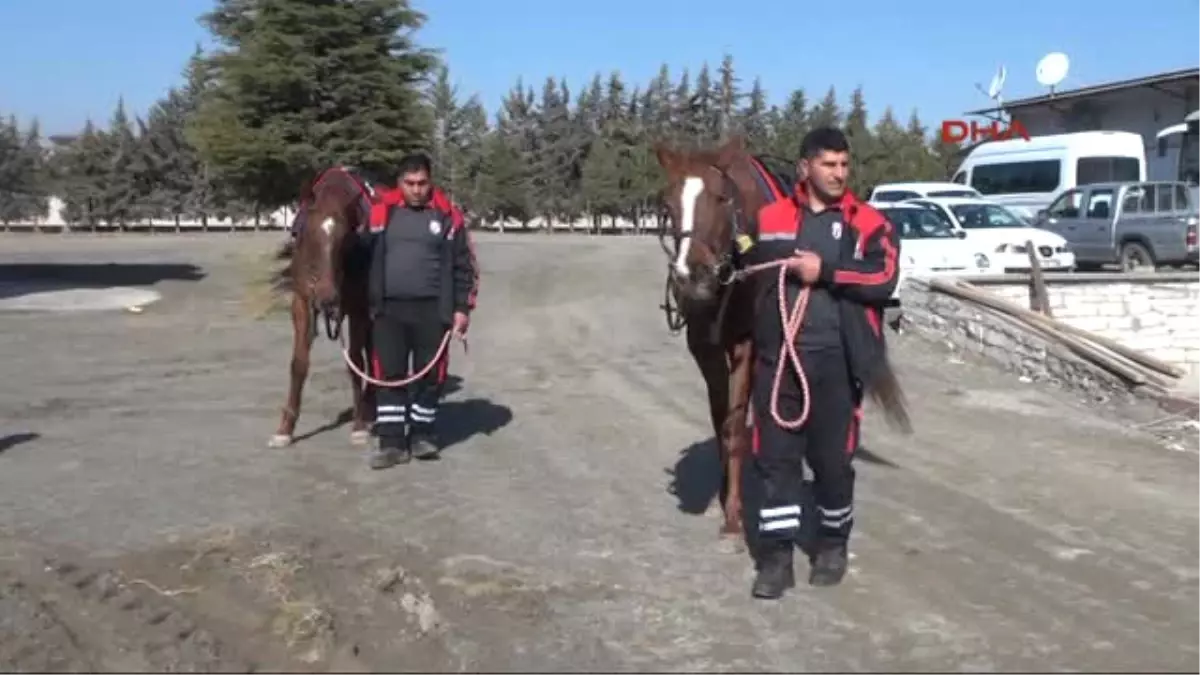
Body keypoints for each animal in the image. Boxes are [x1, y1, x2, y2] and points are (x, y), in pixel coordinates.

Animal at [270, 165, 376, 444]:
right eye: (306, 234)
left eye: (347, 239)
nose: (327, 297)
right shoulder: (302, 303)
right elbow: (298, 363)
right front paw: (285, 429)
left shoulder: (358, 308)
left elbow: (355, 361)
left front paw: (359, 425)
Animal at [652, 135, 792, 540]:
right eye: (668, 204)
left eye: (720, 198)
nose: (692, 277)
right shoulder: (705, 348)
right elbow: (720, 421)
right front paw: (723, 491)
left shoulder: (747, 345)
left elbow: (735, 426)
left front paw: (734, 516)